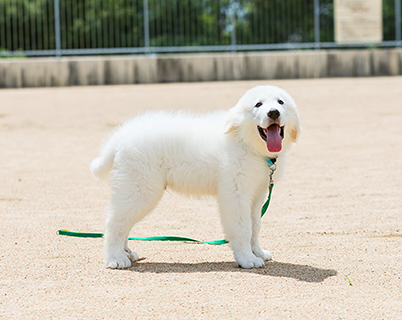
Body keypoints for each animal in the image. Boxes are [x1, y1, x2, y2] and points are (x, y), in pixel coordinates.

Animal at [90, 84, 298, 268]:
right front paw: (248, 259)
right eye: (258, 104)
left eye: (280, 102)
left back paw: (126, 253)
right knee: (114, 223)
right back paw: (115, 259)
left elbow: (255, 227)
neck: (246, 144)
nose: (273, 113)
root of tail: (120, 137)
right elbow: (243, 228)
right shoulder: (236, 195)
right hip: (140, 190)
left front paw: (258, 253)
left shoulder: (256, 195)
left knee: (123, 222)